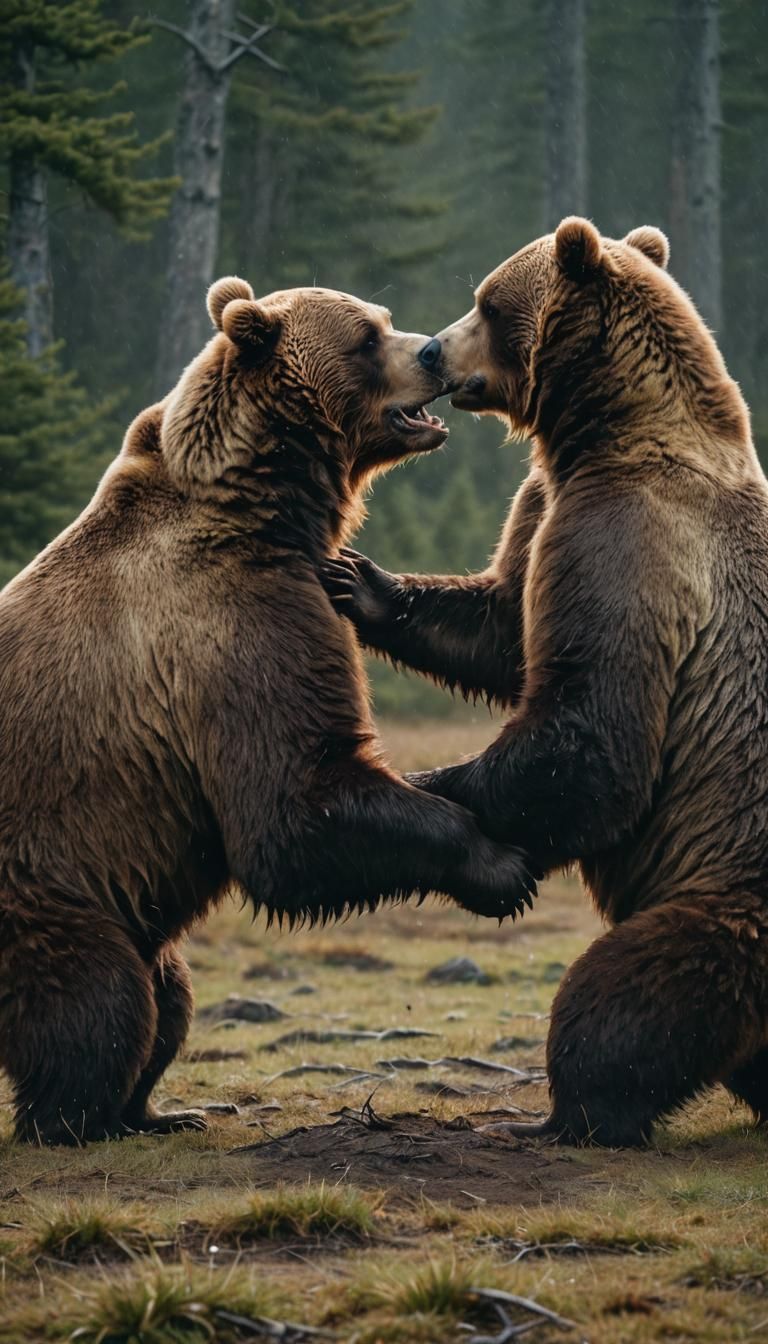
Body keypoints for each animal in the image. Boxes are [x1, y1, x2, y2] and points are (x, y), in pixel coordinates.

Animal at [0, 277, 537, 1146]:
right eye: (367, 337)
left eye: (386, 320)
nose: (430, 352)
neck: (266, 503)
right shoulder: (235, 627)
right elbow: (292, 807)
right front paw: (495, 863)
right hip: (47, 890)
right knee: (97, 1005)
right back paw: (81, 1120)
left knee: (168, 999)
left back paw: (162, 1111)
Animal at [321, 218, 768, 1147]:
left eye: (487, 304)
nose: (432, 346)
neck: (601, 434)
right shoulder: (546, 503)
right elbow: (501, 625)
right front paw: (360, 580)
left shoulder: (622, 539)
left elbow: (585, 735)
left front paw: (432, 787)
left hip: (724, 898)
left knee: (625, 994)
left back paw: (574, 1110)